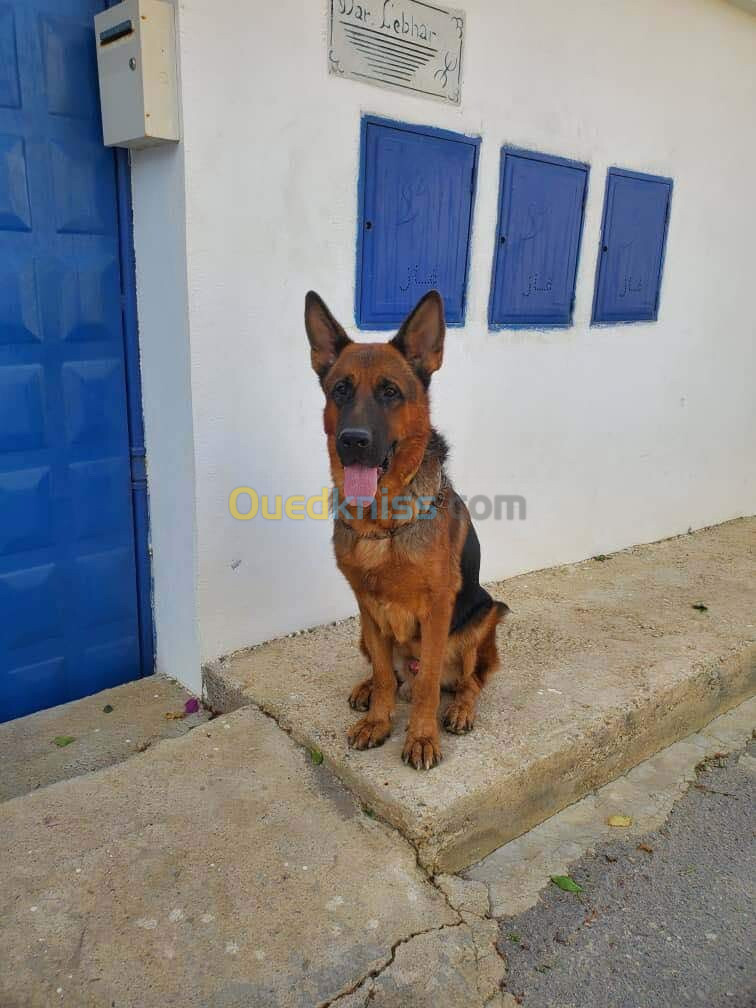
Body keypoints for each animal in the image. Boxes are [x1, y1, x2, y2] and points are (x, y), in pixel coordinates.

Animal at [306, 288, 510, 766]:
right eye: (340, 390)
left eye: (390, 392)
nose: (353, 441)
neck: (383, 521)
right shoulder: (367, 605)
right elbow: (384, 674)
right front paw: (379, 721)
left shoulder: (437, 610)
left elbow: (429, 684)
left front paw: (420, 736)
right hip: (364, 631)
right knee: (394, 676)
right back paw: (368, 690)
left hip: (483, 617)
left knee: (466, 682)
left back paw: (460, 709)